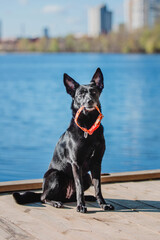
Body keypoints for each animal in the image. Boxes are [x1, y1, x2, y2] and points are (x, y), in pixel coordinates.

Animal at [13, 68, 114, 213]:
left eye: (94, 92)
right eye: (80, 95)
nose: (89, 101)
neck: (88, 125)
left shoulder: (97, 163)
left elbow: (98, 187)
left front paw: (103, 204)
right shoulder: (76, 163)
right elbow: (79, 187)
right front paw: (81, 206)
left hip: (86, 177)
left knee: (71, 196)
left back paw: (87, 198)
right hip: (56, 175)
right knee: (43, 198)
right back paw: (56, 202)